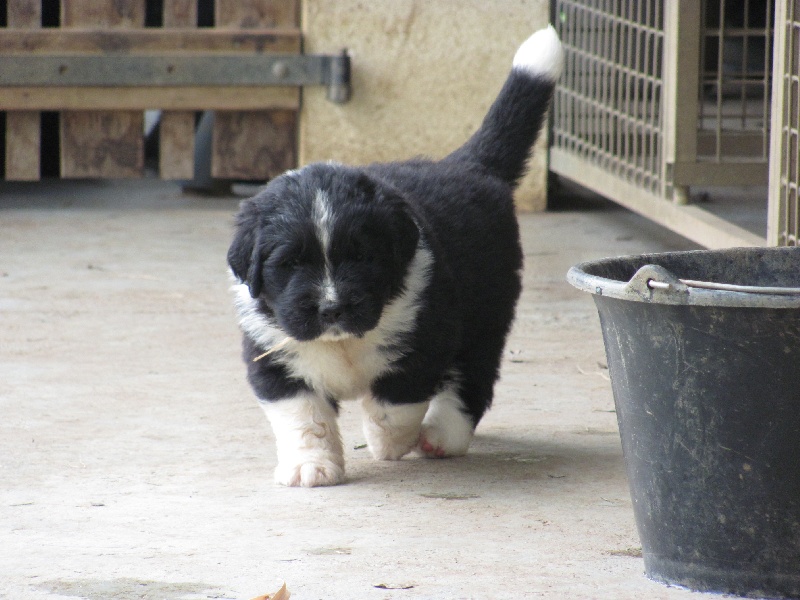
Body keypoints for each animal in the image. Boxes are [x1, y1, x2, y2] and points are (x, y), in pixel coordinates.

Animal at [225, 27, 564, 488]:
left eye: (361, 256)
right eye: (291, 264)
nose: (331, 308)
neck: (343, 343)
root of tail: (467, 165)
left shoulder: (423, 342)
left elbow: (393, 405)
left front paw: (385, 444)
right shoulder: (276, 360)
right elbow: (304, 417)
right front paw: (311, 467)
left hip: (486, 317)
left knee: (471, 380)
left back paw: (440, 436)